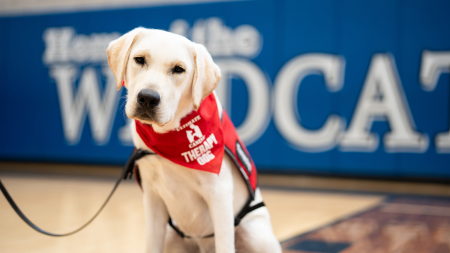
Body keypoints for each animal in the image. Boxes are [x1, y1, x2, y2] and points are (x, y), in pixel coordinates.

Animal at [107, 27, 280, 253]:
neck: (170, 137)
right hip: (171, 236)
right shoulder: (153, 198)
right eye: (139, 59)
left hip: (255, 235)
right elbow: (152, 244)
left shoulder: (219, 194)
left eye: (178, 69)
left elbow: (225, 244)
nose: (147, 98)